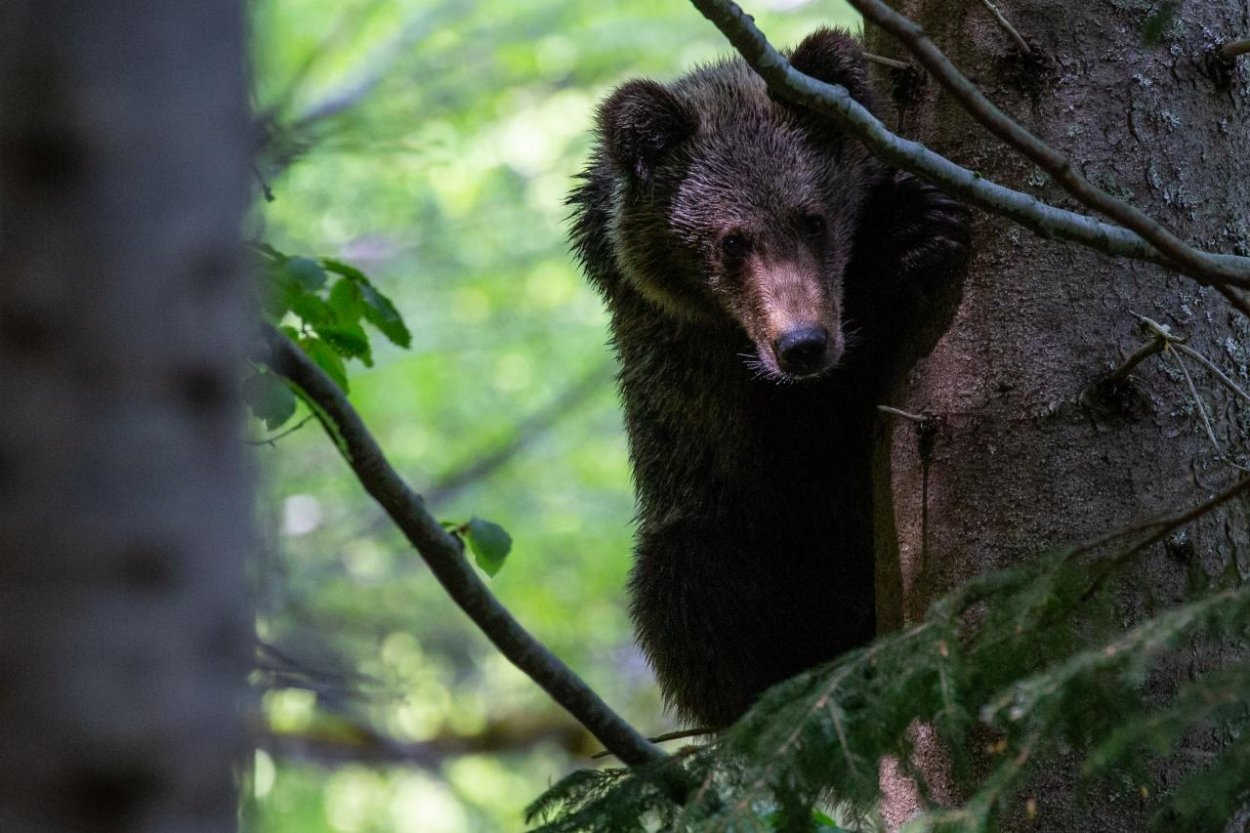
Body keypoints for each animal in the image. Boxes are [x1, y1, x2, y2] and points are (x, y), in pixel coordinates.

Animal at [572, 27, 970, 725]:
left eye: (813, 217)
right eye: (731, 241)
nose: (803, 345)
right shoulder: (696, 369)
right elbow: (797, 448)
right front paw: (907, 233)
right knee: (687, 581)